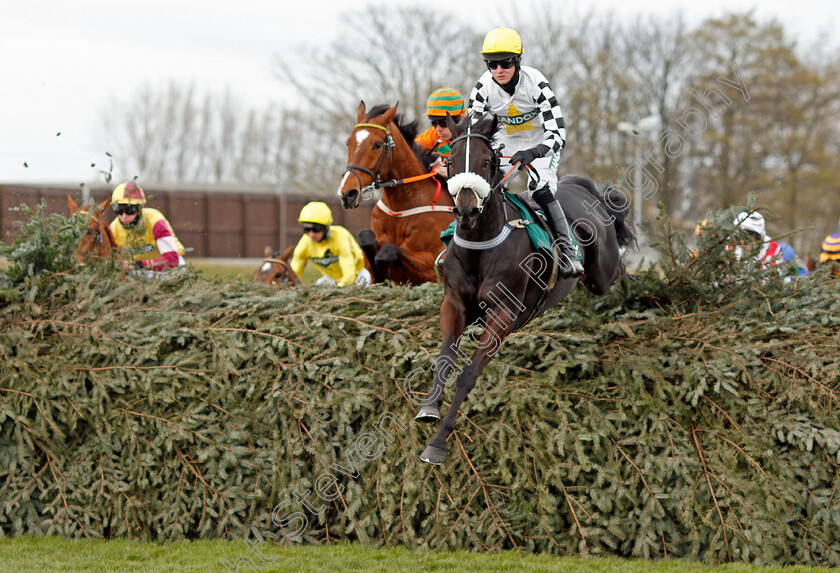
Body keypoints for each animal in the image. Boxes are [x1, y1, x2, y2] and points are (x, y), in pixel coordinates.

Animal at [336, 101, 456, 284]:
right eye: (348, 143)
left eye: (377, 145)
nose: (347, 193)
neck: (401, 205)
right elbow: (365, 238)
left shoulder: (432, 267)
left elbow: (388, 251)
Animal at [410, 113, 632, 464]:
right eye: (451, 161)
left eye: (487, 161)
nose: (467, 211)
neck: (480, 244)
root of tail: (581, 188)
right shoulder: (454, 303)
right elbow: (445, 358)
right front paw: (429, 407)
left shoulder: (503, 314)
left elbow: (468, 375)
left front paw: (438, 442)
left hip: (601, 271)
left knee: (616, 268)